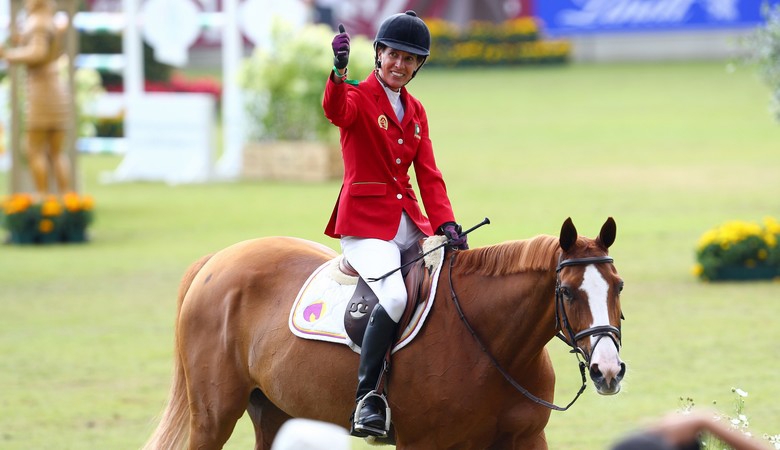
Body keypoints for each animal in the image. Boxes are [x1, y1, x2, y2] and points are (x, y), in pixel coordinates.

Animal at [143, 216, 624, 448]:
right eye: (567, 291)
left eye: (618, 286)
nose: (608, 371)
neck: (495, 347)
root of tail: (218, 259)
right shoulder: (424, 444)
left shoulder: (526, 439)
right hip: (213, 418)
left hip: (275, 410)